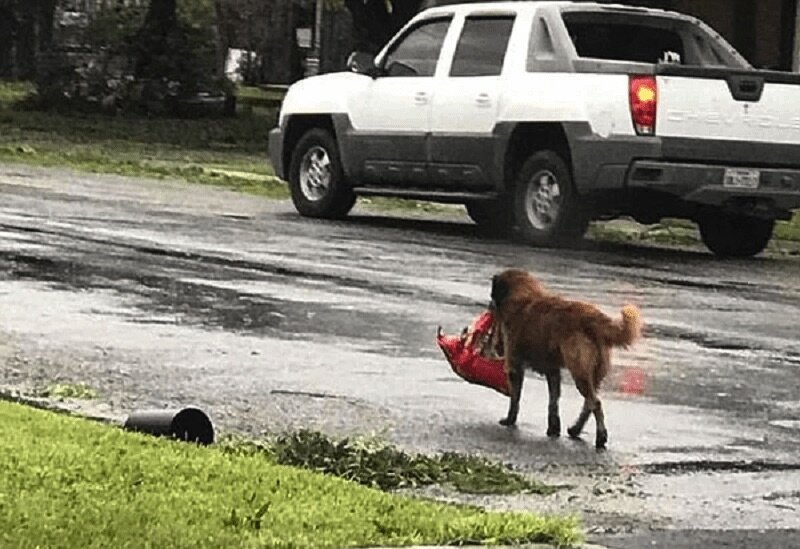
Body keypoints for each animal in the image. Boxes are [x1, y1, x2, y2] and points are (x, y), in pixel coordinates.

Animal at [490, 268, 640, 448]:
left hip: (580, 372)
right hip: (593, 374)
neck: (524, 296)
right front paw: (553, 428)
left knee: (595, 403)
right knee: (589, 404)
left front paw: (510, 420)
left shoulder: (515, 366)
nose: (490, 305)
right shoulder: (553, 371)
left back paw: (600, 437)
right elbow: (553, 402)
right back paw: (575, 429)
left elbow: (515, 399)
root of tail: (594, 318)